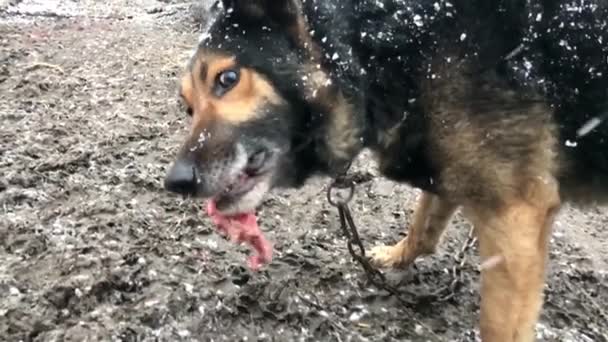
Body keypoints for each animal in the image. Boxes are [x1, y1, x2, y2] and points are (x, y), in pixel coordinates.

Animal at [163, 1, 608, 340]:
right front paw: (396, 256)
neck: (377, 53)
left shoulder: (514, 221)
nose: (176, 182)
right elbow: (424, 226)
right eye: (188, 107)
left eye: (228, 78)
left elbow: (498, 327)